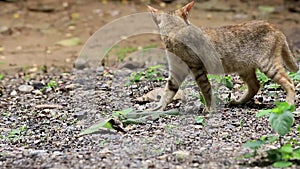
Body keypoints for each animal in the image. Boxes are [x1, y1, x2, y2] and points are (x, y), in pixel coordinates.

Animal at [147, 0, 298, 111]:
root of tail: (275, 27)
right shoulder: (176, 72)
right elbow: (168, 92)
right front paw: (158, 108)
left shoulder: (198, 69)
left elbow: (206, 90)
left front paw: (209, 109)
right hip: (244, 68)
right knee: (255, 85)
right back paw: (238, 102)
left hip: (268, 65)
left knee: (289, 82)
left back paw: (289, 104)